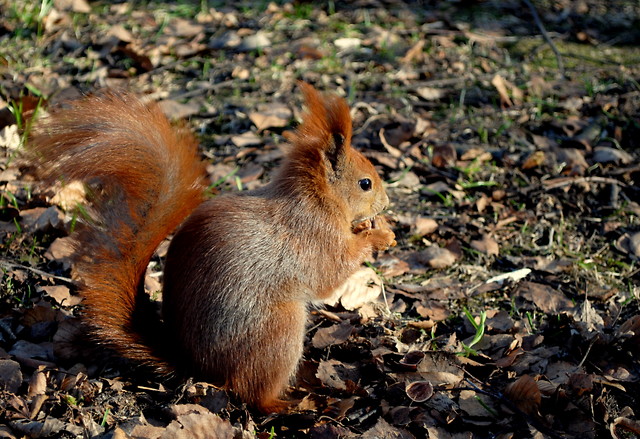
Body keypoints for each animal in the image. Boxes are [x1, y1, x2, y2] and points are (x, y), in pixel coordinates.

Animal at [28, 83, 396, 416]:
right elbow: (332, 273)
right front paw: (378, 237)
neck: (316, 200)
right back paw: (290, 403)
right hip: (278, 332)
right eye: (365, 183)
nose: (386, 202)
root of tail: (198, 367)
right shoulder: (315, 238)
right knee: (251, 393)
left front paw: (374, 228)